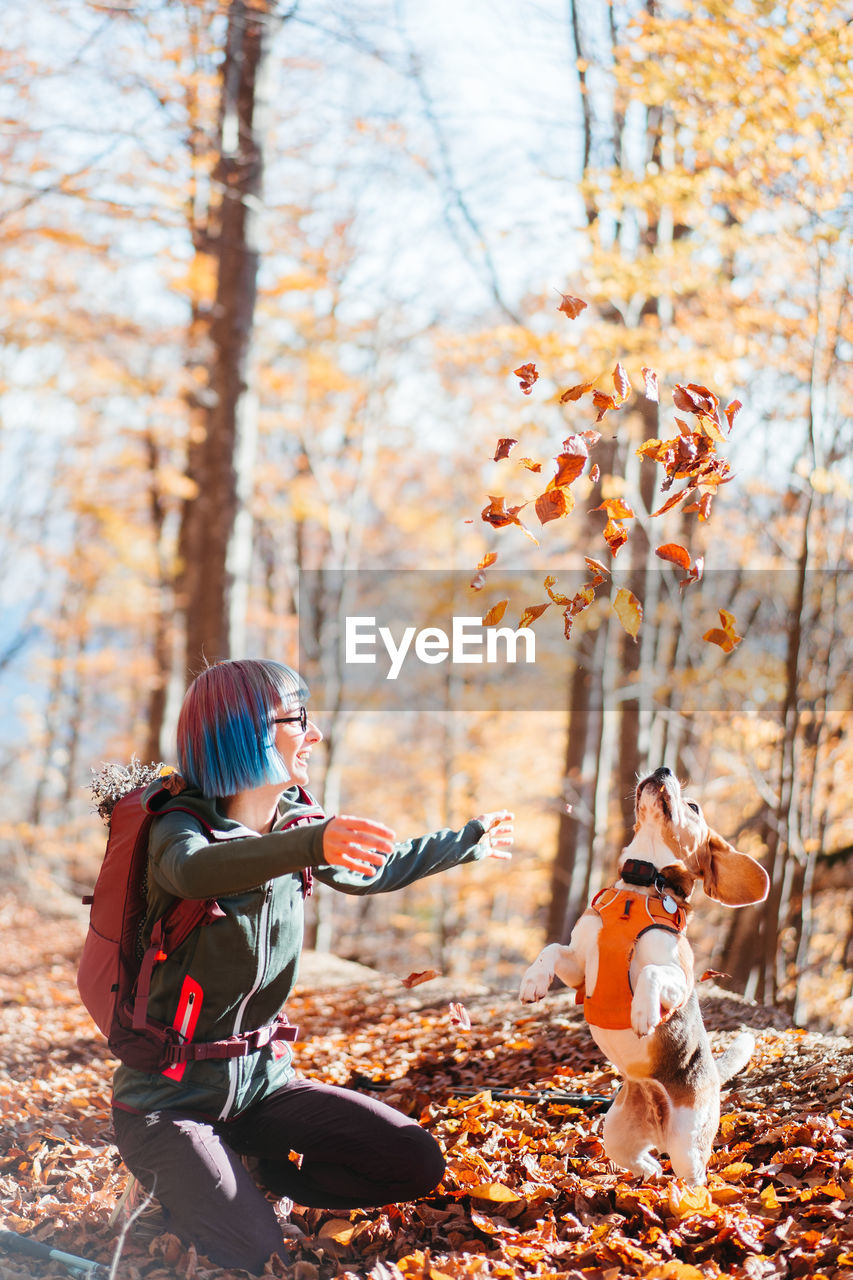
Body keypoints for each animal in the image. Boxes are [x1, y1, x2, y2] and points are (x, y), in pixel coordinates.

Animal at [514, 762, 768, 1182]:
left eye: (693, 806)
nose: (663, 768)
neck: (643, 883)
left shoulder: (679, 978)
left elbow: (650, 974)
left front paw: (643, 1013)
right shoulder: (580, 967)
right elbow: (550, 949)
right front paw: (533, 981)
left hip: (688, 1143)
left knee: (693, 1180)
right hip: (616, 1134)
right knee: (647, 1164)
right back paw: (641, 1180)